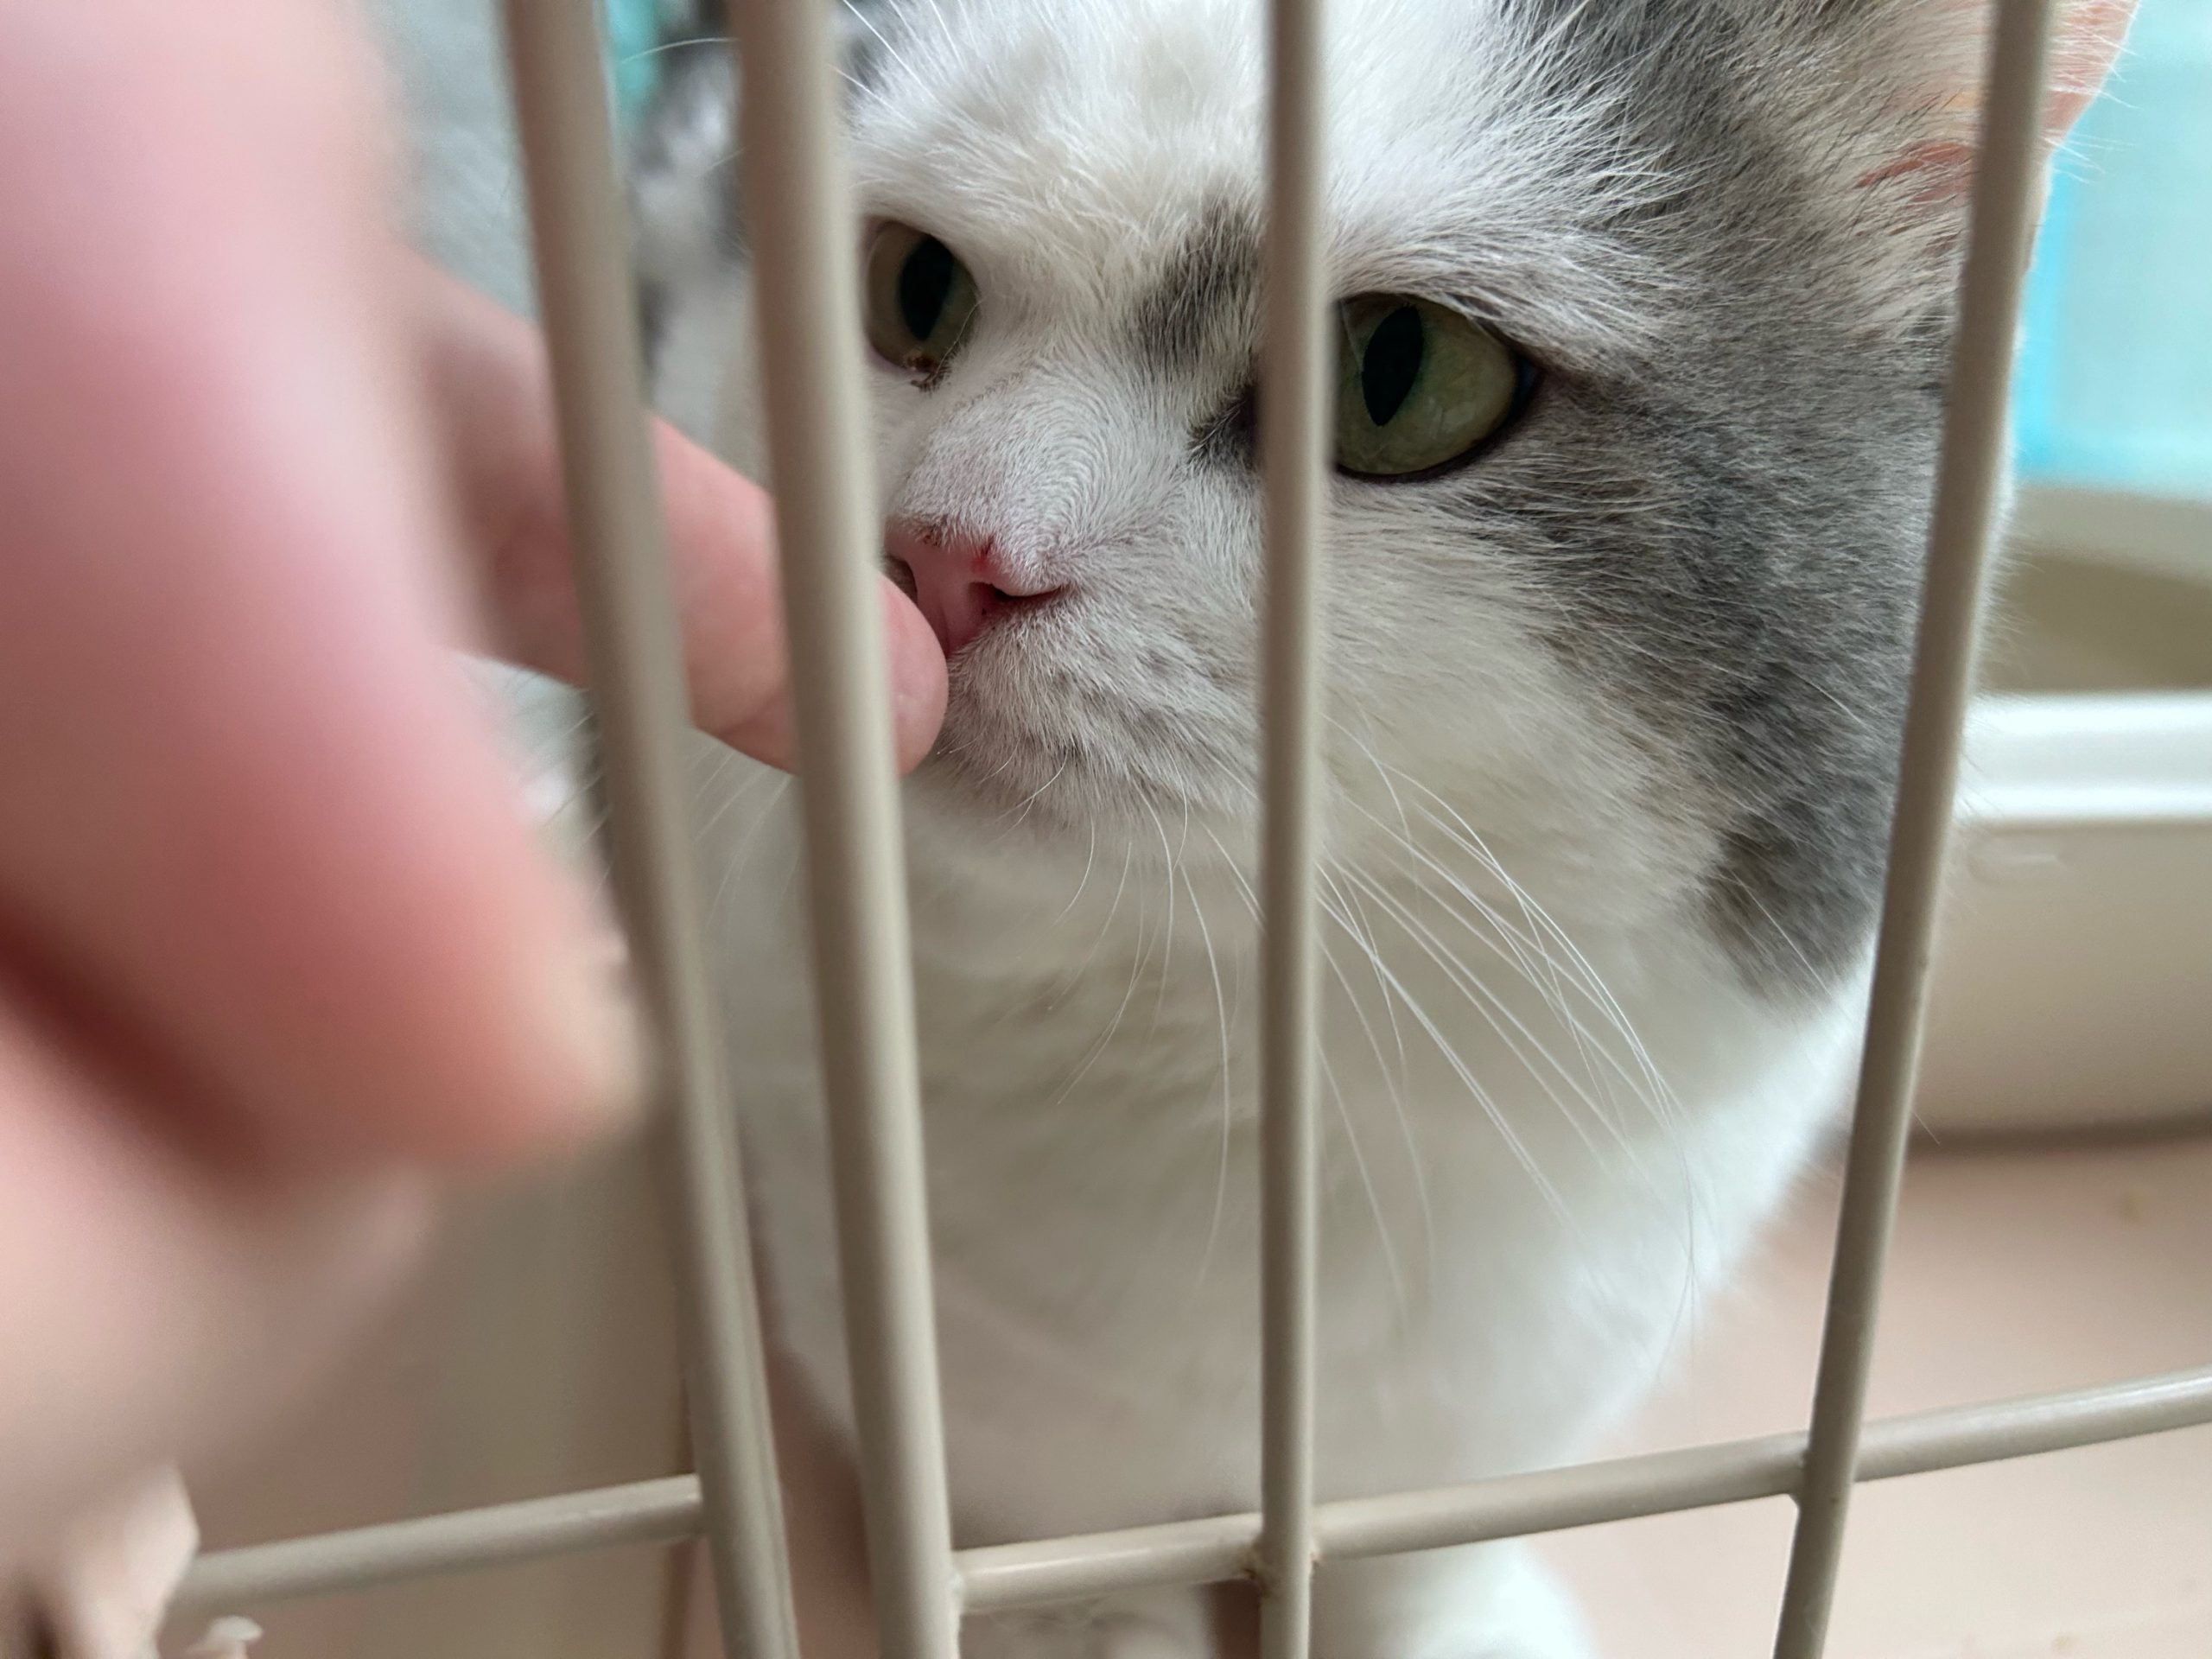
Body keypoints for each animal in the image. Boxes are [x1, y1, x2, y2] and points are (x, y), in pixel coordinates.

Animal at [628, 3, 2130, 1655]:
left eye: (1398, 375)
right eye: (910, 285)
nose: (940, 554)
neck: (1235, 1076)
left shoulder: (1522, 1372)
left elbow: (1419, 1544)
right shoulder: (934, 1347)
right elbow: (1056, 1530)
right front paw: (1088, 1629)